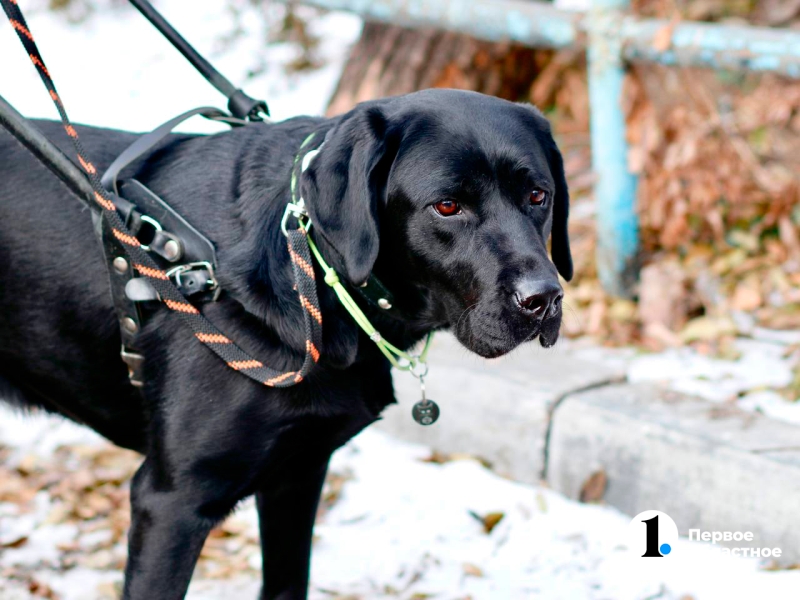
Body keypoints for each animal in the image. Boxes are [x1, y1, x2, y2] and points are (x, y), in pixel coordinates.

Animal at [1, 89, 576, 600]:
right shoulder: (171, 502)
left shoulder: (297, 476)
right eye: (448, 206)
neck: (313, 280)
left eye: (538, 196)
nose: (543, 299)